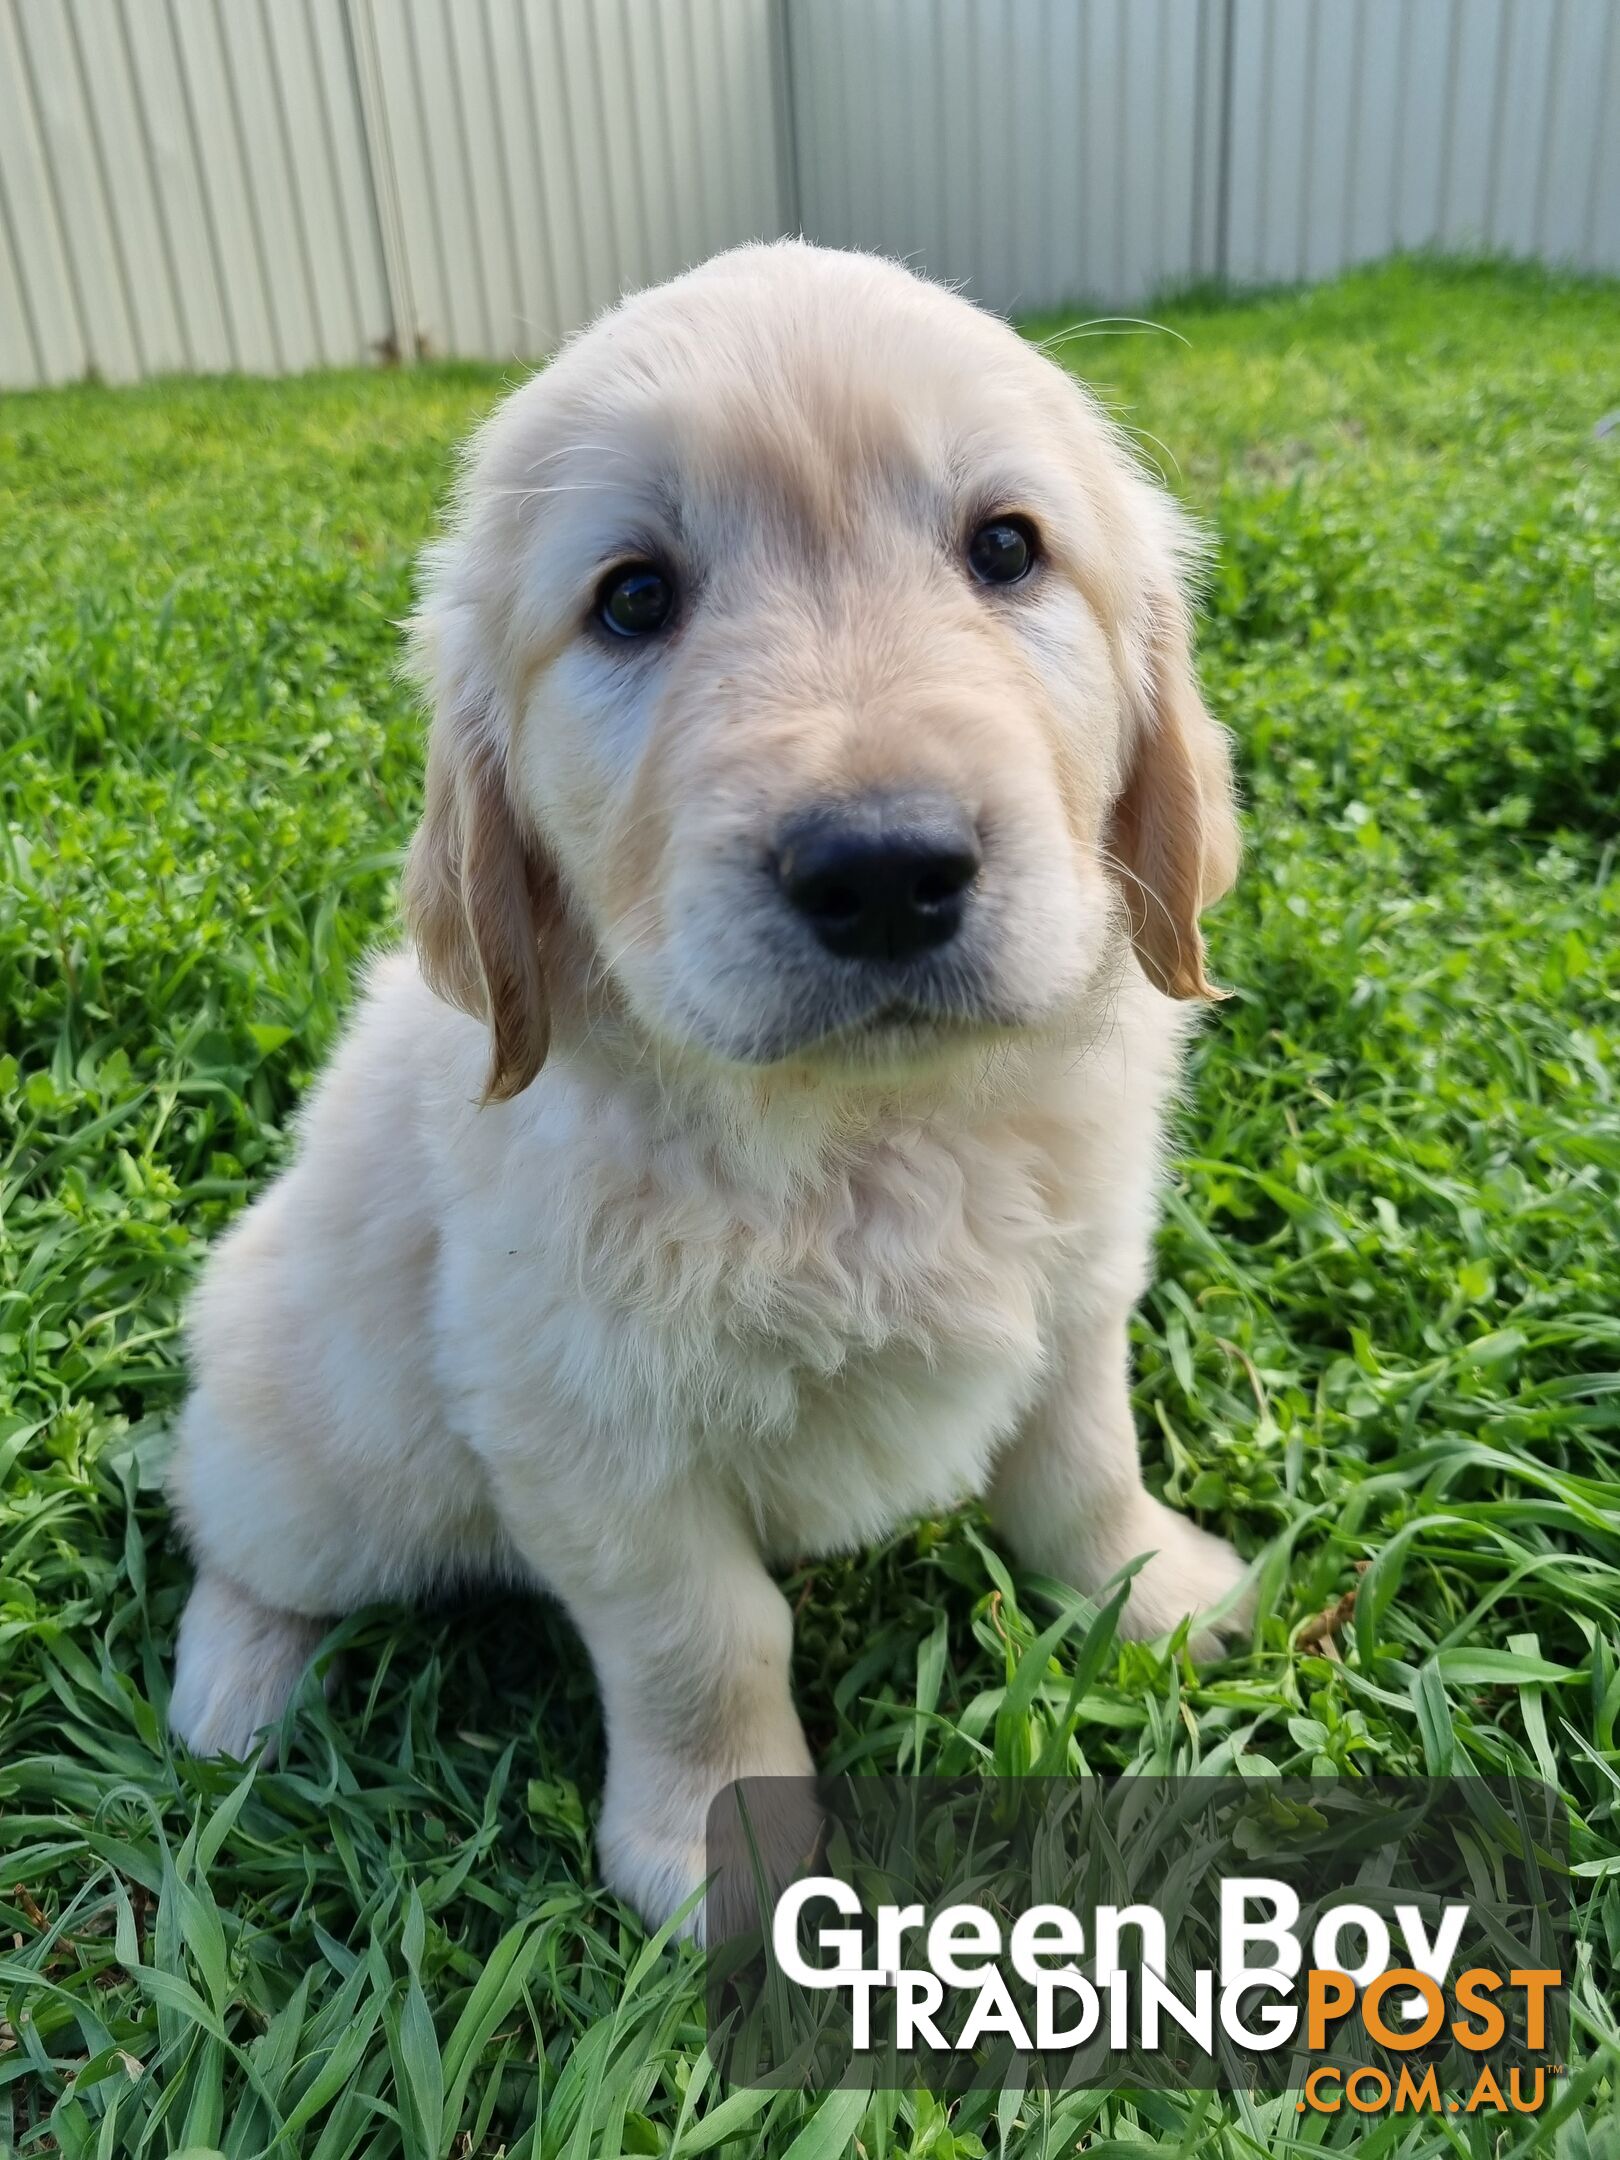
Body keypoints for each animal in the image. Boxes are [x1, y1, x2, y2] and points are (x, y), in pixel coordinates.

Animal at [168, 245, 1252, 1935]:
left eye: (1006, 548)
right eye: (632, 599)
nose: (884, 869)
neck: (864, 1130)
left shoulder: (1075, 1295)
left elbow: (1086, 1467)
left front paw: (1158, 1598)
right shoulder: (587, 1424)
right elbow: (707, 1634)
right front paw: (716, 1848)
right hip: (324, 1448)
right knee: (234, 1528)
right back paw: (231, 1686)